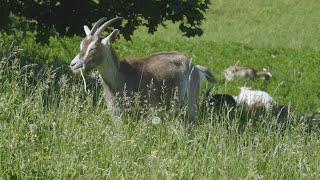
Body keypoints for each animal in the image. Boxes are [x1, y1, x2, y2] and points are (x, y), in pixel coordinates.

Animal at [69, 16, 216, 122]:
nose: (73, 65)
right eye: (82, 45)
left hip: (190, 104)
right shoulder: (117, 116)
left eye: (93, 48)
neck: (120, 76)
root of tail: (195, 67)